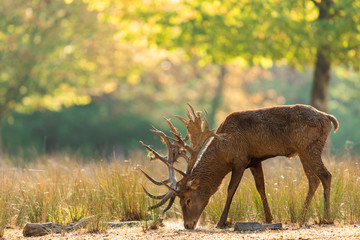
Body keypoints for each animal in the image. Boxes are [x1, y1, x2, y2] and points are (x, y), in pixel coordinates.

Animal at [139, 104, 338, 230]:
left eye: (187, 200)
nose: (188, 225)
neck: (223, 150)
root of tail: (329, 118)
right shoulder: (255, 160)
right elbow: (261, 188)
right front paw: (269, 218)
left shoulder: (240, 159)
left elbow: (230, 189)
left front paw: (221, 222)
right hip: (304, 150)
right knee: (313, 179)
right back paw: (302, 217)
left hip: (308, 146)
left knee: (325, 175)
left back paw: (327, 216)